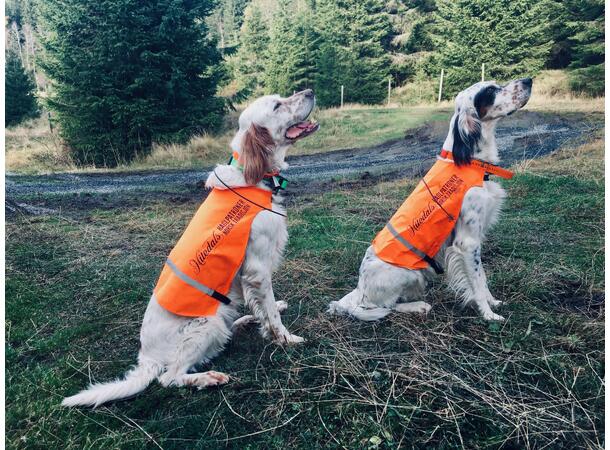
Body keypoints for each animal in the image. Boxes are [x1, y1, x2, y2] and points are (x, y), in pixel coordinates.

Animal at [62, 89, 318, 406]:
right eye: (277, 105)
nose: (310, 91)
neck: (253, 176)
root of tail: (147, 357)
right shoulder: (257, 269)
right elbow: (270, 314)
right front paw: (286, 339)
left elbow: (267, 308)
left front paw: (271, 315)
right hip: (206, 324)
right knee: (169, 377)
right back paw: (208, 378)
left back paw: (243, 321)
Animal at [328, 79, 532, 322]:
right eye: (491, 90)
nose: (528, 81)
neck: (469, 161)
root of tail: (359, 290)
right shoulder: (467, 242)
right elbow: (477, 284)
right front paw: (489, 315)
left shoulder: (476, 240)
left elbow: (482, 279)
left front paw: (494, 303)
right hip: (408, 273)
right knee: (384, 307)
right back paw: (418, 306)